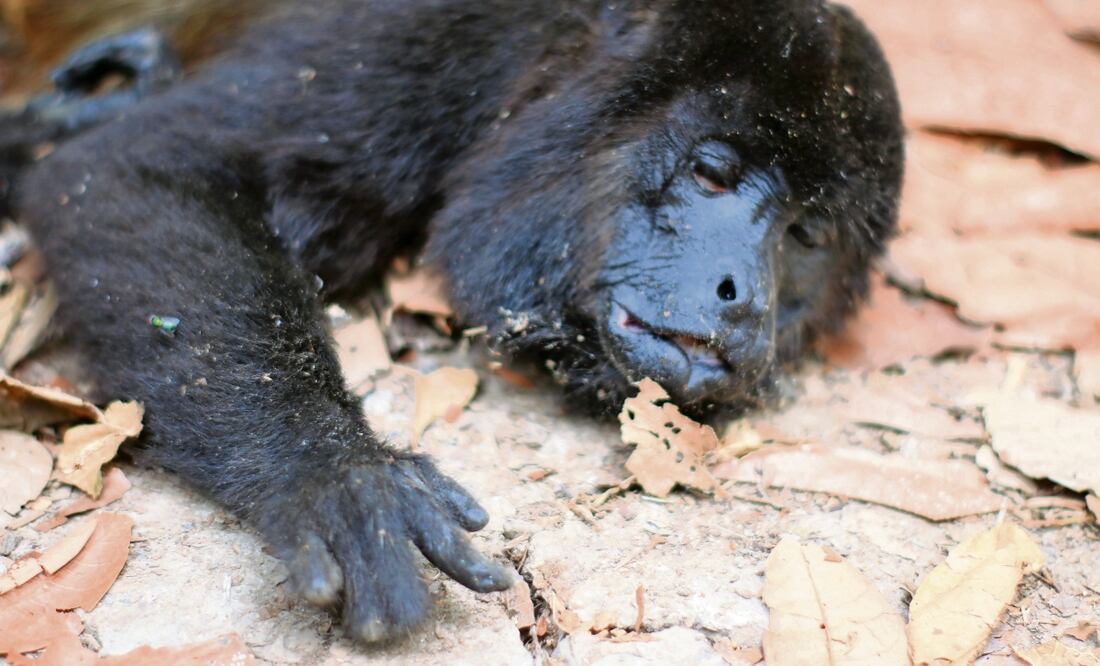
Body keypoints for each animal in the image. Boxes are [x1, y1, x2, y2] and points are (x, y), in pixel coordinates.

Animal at [4, 0, 903, 645]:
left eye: (806, 236)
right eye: (713, 171)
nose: (740, 296)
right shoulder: (423, 33)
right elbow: (139, 167)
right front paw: (335, 474)